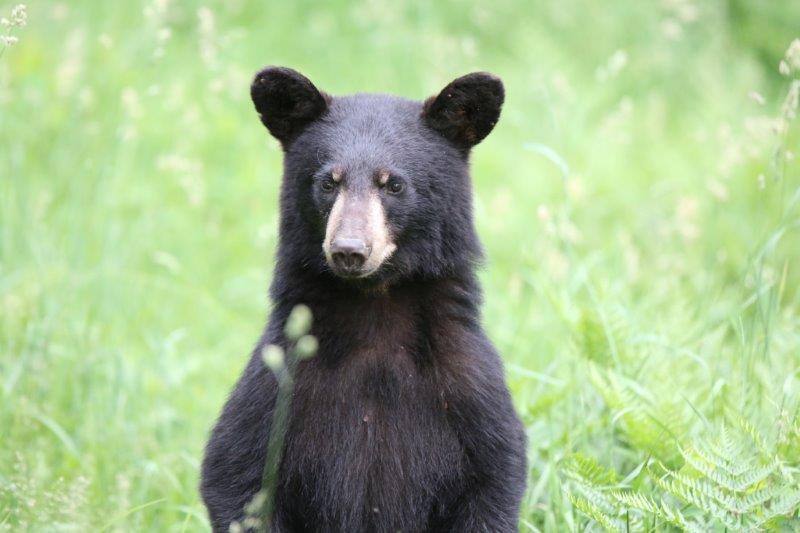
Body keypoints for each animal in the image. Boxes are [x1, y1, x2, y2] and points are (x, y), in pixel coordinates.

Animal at [200, 66, 528, 532]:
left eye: (393, 184)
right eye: (327, 181)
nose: (349, 250)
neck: (375, 308)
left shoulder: (469, 392)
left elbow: (492, 478)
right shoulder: (277, 389)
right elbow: (236, 474)